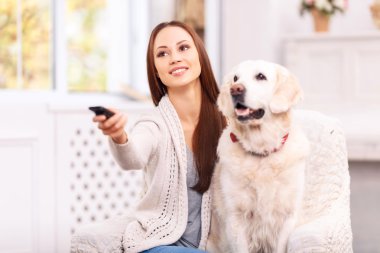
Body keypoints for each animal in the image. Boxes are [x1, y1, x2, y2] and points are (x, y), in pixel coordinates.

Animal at [206, 60, 310, 252]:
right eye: (235, 78)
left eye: (260, 76)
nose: (235, 89)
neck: (262, 152)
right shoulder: (236, 218)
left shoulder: (288, 216)